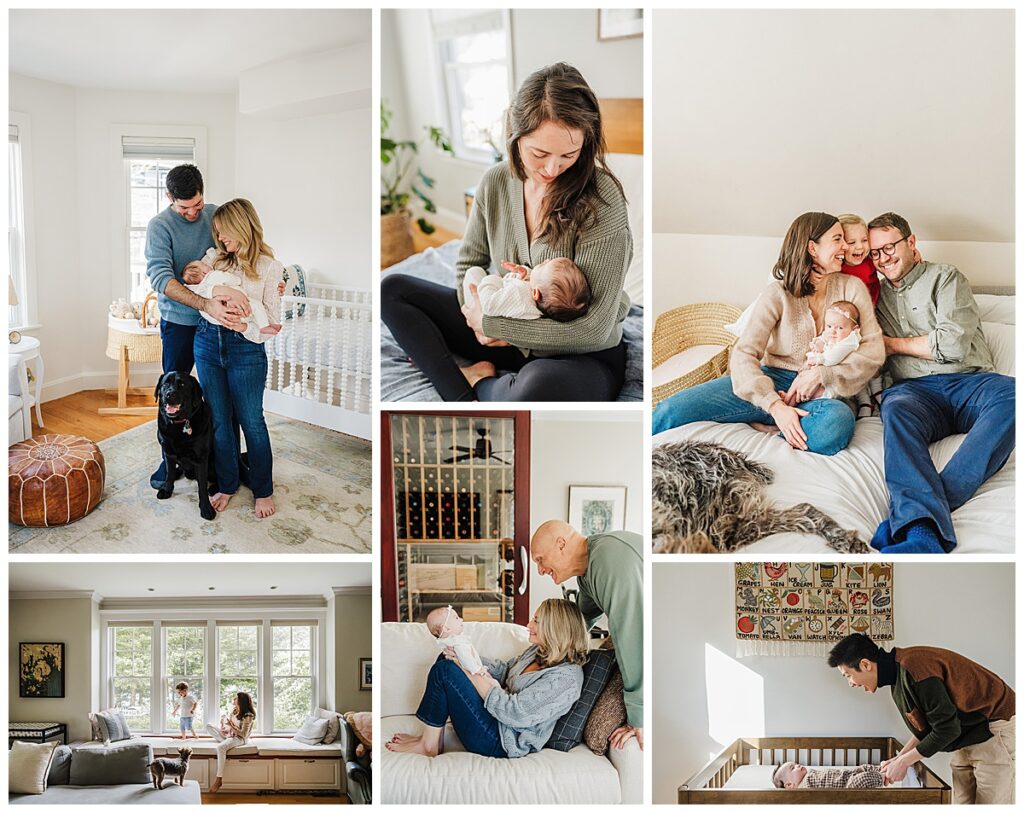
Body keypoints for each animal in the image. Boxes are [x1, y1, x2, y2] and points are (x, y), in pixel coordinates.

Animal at [152, 368, 212, 520]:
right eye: (165, 384)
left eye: (182, 385)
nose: (169, 394)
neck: (179, 424)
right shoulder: (168, 452)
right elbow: (169, 474)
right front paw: (167, 490)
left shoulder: (201, 458)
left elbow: (202, 485)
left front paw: (206, 507)